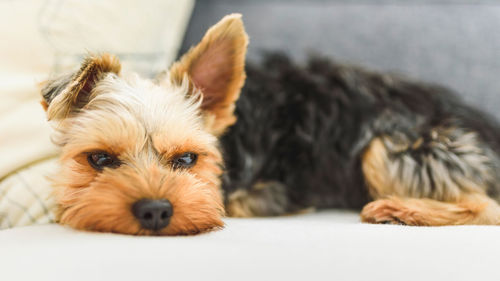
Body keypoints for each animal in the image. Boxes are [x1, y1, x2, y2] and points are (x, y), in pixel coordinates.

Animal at [40, 13, 500, 234]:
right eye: (99, 159)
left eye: (187, 159)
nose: (154, 211)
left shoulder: (269, 194)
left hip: (391, 144)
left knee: (487, 207)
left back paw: (402, 209)